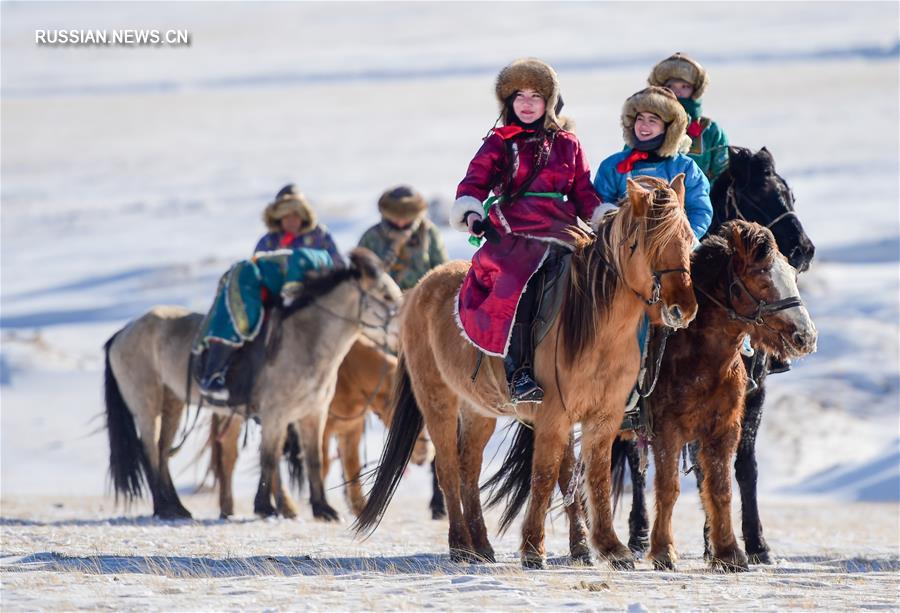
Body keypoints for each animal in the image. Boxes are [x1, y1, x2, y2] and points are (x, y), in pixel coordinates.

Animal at [103, 250, 402, 520]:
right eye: (386, 296)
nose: (403, 325)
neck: (305, 343)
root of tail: (122, 333)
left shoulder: (313, 415)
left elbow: (314, 460)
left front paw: (323, 509)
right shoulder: (274, 415)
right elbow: (268, 458)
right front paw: (265, 507)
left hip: (173, 402)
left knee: (163, 451)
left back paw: (177, 508)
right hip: (147, 404)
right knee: (150, 451)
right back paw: (163, 508)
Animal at [207, 334, 432, 516]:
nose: (426, 453)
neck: (348, 375)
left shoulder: (351, 429)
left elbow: (352, 466)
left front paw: (360, 508)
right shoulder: (322, 428)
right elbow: (321, 463)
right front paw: (319, 505)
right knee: (229, 457)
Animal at [356, 173, 696, 568]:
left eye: (688, 239)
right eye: (647, 243)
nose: (682, 309)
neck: (596, 327)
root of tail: (419, 288)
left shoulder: (604, 417)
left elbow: (594, 477)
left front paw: (609, 547)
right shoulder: (553, 415)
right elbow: (545, 475)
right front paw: (534, 548)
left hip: (478, 410)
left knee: (469, 467)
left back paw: (482, 545)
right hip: (437, 400)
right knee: (448, 469)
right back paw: (460, 545)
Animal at [620, 145, 816, 564]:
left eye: (790, 195)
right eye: (757, 196)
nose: (803, 250)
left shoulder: (747, 403)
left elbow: (741, 470)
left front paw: (750, 544)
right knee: (627, 462)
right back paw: (636, 535)